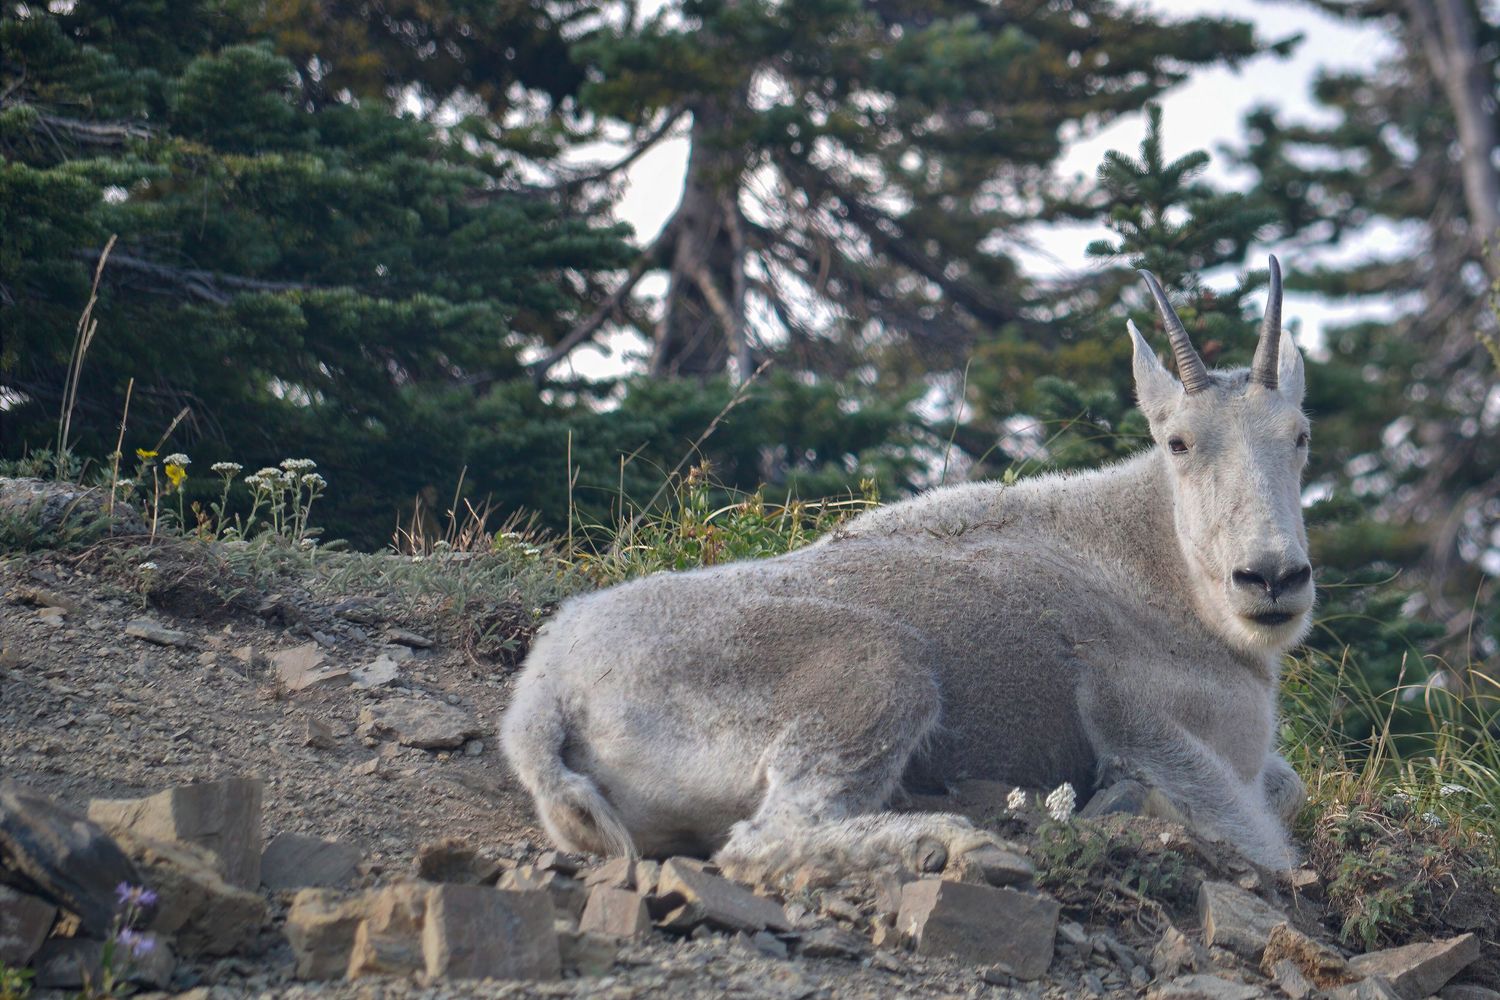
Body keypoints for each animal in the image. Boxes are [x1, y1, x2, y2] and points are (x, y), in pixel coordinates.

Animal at [502, 259, 1312, 873]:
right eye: (1178, 442)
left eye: (1300, 434)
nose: (1272, 578)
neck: (1161, 574)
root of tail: (544, 703)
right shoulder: (1161, 738)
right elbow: (1271, 843)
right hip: (876, 670)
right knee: (771, 834)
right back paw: (949, 840)